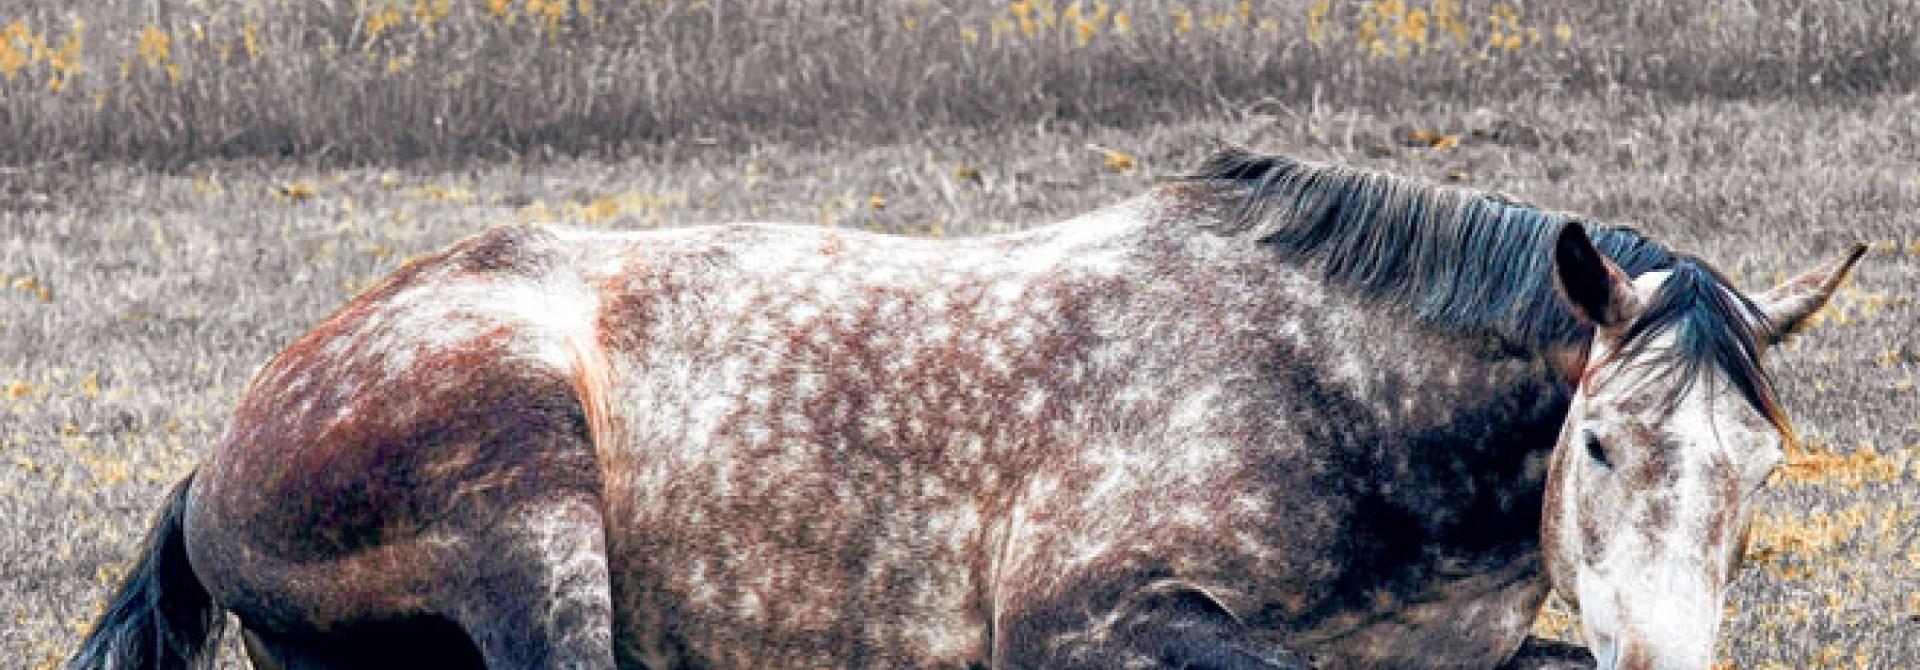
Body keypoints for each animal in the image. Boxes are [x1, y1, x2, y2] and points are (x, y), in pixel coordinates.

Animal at [69, 148, 1863, 670]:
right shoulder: (1084, 620)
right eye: (1601, 442)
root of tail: (214, 455)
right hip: (536, 522)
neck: (1332, 396)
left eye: (1758, 475)